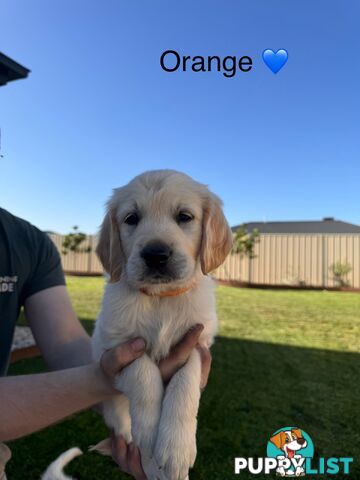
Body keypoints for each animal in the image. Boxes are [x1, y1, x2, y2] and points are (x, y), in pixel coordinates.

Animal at [91, 170, 232, 480]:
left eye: (184, 216)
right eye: (131, 218)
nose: (155, 254)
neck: (161, 299)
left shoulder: (197, 343)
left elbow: (184, 384)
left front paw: (176, 448)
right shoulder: (114, 346)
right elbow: (144, 375)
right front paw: (148, 431)